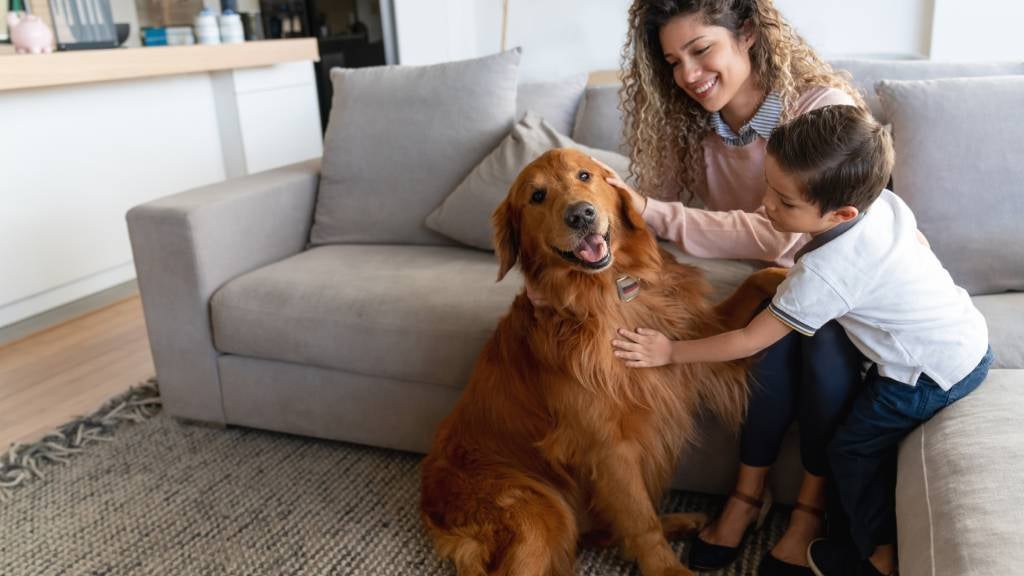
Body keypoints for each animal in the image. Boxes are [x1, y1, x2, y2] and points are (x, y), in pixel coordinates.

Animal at [419, 148, 786, 573]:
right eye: (537, 196)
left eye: (584, 175)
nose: (580, 215)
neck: (610, 293)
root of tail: (429, 501)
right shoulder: (608, 446)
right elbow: (640, 520)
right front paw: (668, 568)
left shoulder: (699, 332)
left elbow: (757, 282)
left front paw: (797, 273)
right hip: (539, 511)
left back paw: (684, 520)